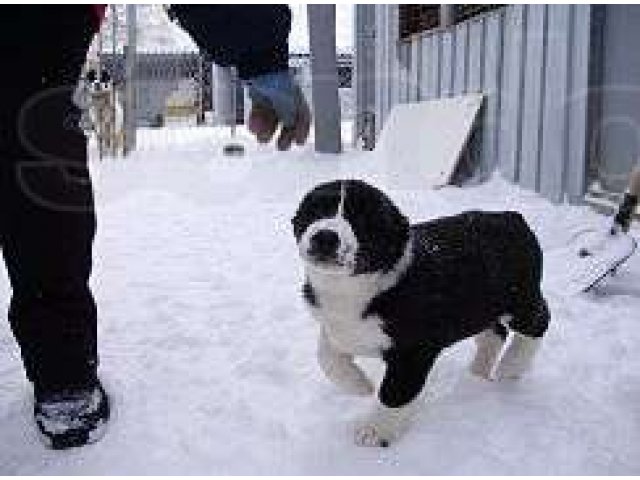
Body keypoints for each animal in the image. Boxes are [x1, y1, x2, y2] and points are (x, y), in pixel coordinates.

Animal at [292, 179, 548, 446]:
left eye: (362, 219)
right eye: (315, 212)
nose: (325, 237)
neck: (353, 286)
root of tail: (511, 217)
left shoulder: (414, 350)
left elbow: (395, 391)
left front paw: (376, 431)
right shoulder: (338, 326)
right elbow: (326, 356)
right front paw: (360, 386)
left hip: (520, 297)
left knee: (538, 321)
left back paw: (510, 367)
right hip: (482, 307)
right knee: (494, 333)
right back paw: (478, 373)